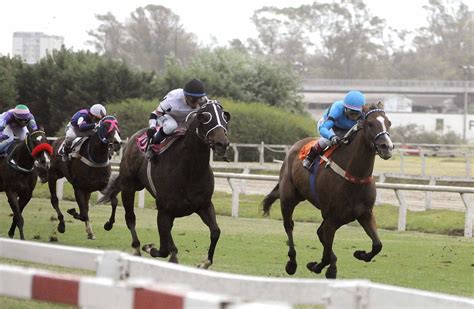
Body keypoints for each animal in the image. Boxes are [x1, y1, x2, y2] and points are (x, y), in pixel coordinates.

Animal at [99, 101, 230, 268]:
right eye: (205, 118)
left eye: (224, 118)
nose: (222, 144)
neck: (190, 171)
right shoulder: (164, 209)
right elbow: (163, 248)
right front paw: (149, 247)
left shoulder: (204, 205)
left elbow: (215, 231)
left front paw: (205, 262)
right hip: (129, 187)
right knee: (130, 217)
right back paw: (135, 246)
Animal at [262, 102, 392, 278]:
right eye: (370, 123)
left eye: (389, 123)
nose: (387, 147)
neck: (354, 176)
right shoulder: (331, 218)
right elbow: (325, 253)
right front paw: (319, 266)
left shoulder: (364, 214)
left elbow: (378, 244)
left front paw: (360, 254)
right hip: (289, 198)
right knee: (289, 225)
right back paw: (292, 263)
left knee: (319, 232)